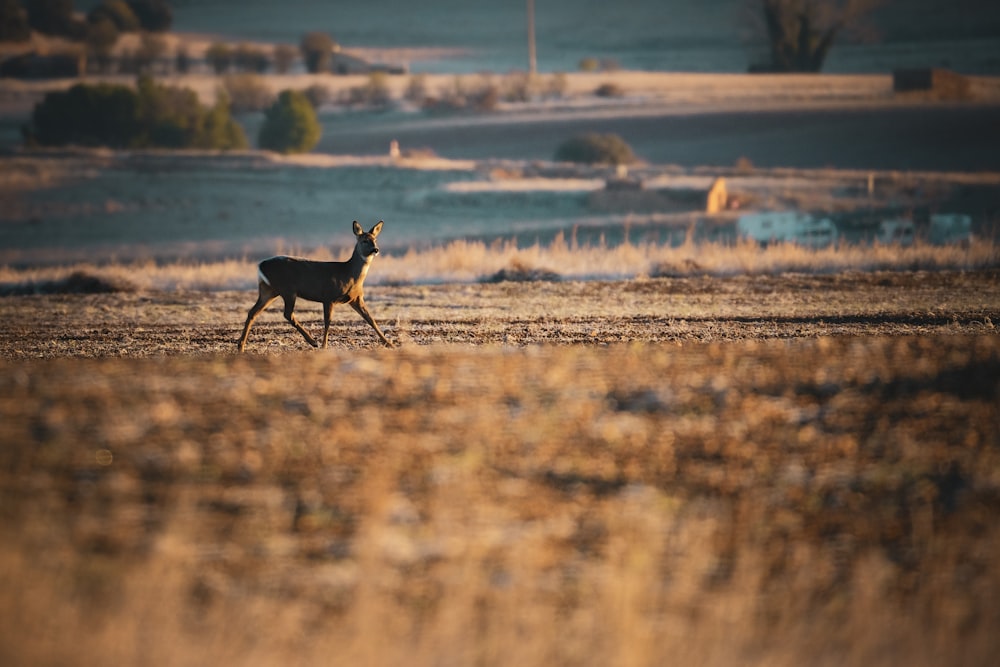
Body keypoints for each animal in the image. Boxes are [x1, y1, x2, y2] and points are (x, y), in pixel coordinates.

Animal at [236, 220, 392, 354]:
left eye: (375, 239)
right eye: (364, 240)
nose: (376, 249)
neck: (349, 274)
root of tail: (260, 265)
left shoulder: (356, 298)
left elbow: (370, 319)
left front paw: (389, 343)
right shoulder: (328, 295)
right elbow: (328, 321)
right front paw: (324, 345)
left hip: (268, 290)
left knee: (253, 312)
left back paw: (241, 346)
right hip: (287, 289)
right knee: (287, 314)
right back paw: (313, 341)